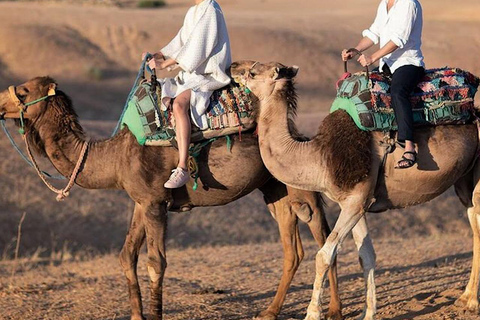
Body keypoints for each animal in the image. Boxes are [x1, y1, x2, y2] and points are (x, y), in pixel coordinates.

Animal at [0, 77, 344, 320]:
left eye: (24, 90)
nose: (1, 104)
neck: (114, 156)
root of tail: (297, 134)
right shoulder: (142, 201)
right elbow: (126, 255)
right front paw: (137, 315)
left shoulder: (155, 204)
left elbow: (156, 263)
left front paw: (154, 313)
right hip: (275, 189)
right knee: (293, 250)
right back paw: (270, 311)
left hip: (301, 188)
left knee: (323, 238)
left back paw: (333, 311)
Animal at [228, 60, 480, 320]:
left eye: (252, 72)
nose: (233, 68)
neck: (319, 157)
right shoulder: (355, 202)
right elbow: (365, 256)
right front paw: (368, 313)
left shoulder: (356, 200)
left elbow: (324, 255)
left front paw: (313, 313)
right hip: (464, 178)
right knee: (473, 219)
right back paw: (464, 298)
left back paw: (471, 302)